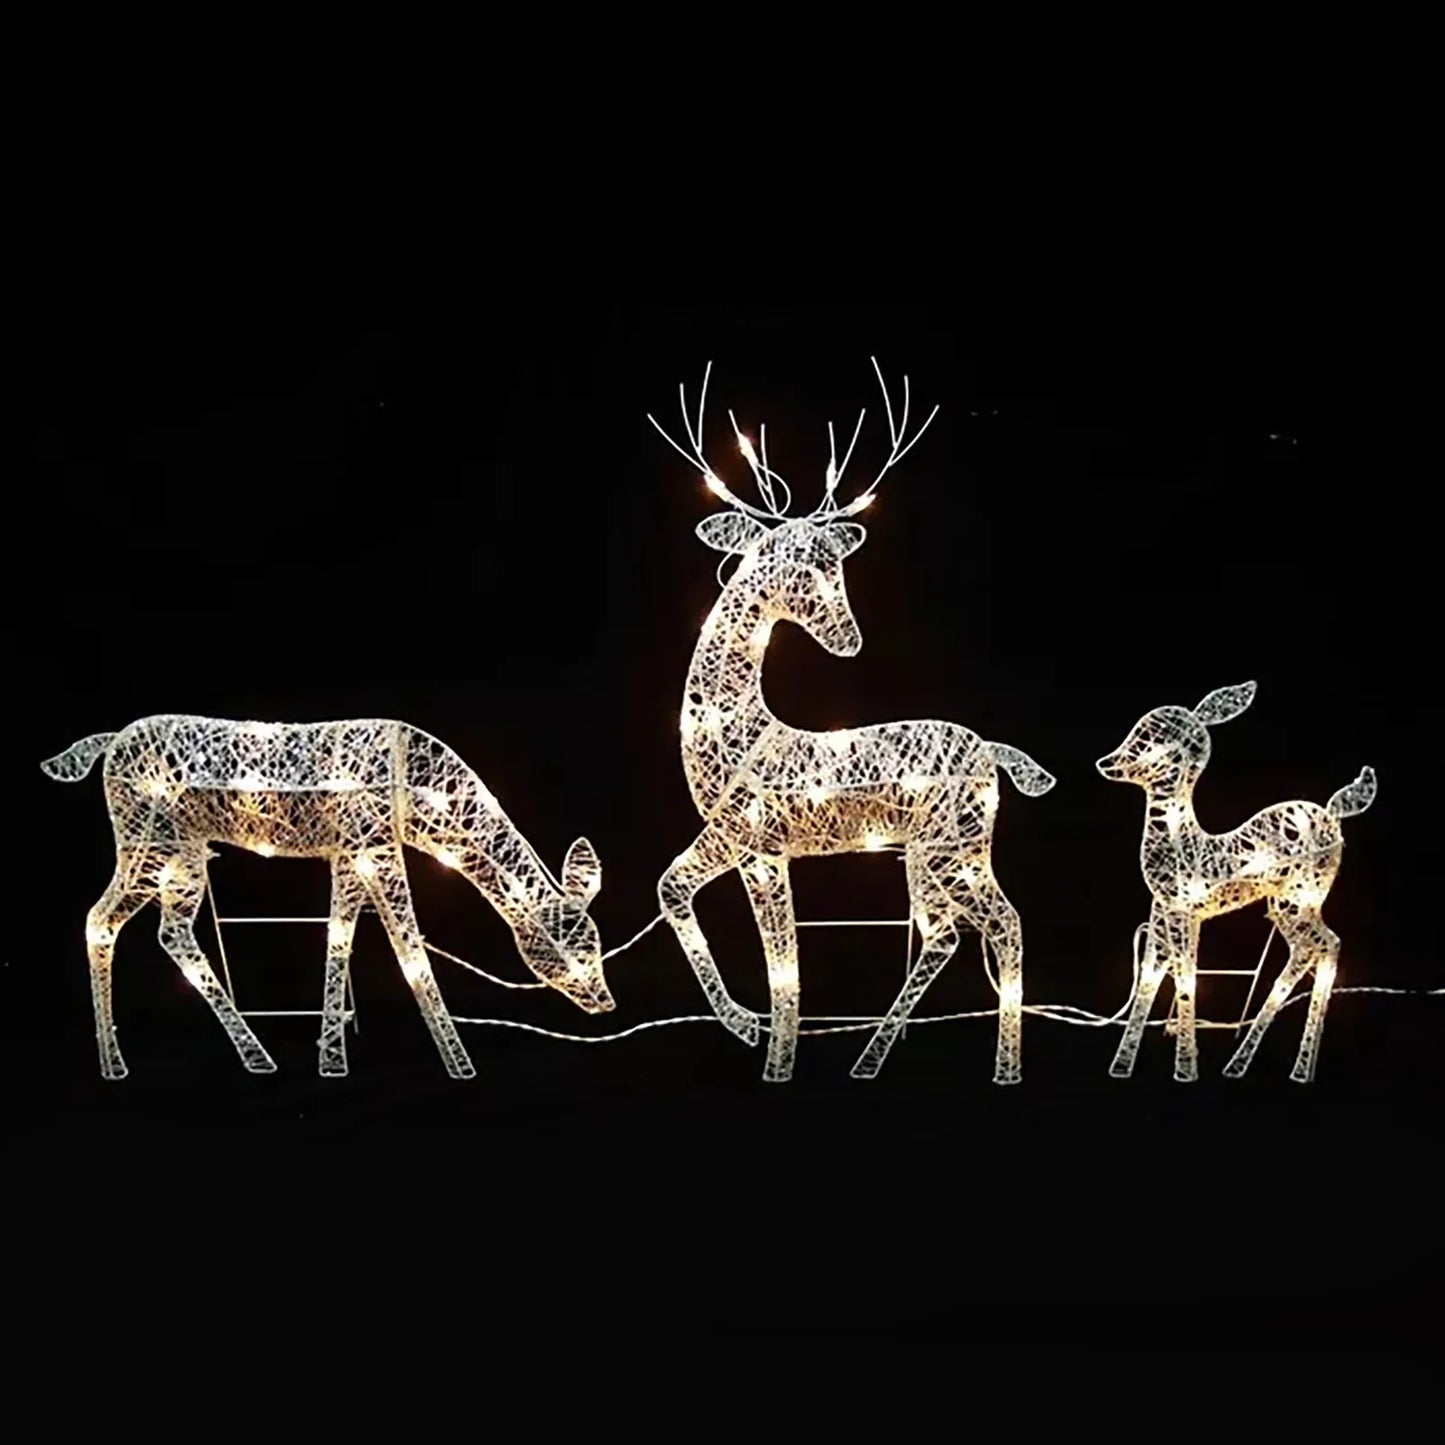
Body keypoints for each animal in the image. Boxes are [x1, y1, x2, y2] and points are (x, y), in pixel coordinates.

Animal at [41, 716, 611, 1080]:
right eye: (565, 951)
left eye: (596, 945)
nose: (604, 1001)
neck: (416, 795)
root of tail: (110, 744)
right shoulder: (375, 847)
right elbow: (409, 949)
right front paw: (461, 1064)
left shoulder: (353, 854)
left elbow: (340, 939)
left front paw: (331, 1059)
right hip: (150, 841)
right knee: (101, 918)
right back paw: (118, 1064)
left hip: (182, 855)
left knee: (165, 929)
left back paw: (248, 1055)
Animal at [648, 360, 1056, 1085]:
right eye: (790, 560)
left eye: (834, 564)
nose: (848, 638)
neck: (737, 732)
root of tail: (992, 751)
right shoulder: (737, 841)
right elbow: (674, 888)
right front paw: (743, 1025)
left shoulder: (759, 843)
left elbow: (786, 974)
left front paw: (774, 1060)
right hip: (926, 853)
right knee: (946, 934)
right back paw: (869, 1060)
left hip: (957, 846)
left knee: (1003, 923)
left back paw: (1003, 1067)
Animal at [1096, 681, 1376, 1083]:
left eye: (1150, 737)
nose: (1107, 762)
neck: (1182, 840)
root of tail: (1334, 814)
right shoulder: (1162, 911)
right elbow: (1151, 977)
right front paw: (1121, 1065)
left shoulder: (1186, 913)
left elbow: (1185, 977)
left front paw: (1186, 1068)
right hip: (1290, 905)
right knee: (1313, 948)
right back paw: (1254, 1064)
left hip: (1298, 900)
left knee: (1324, 945)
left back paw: (1288, 1067)